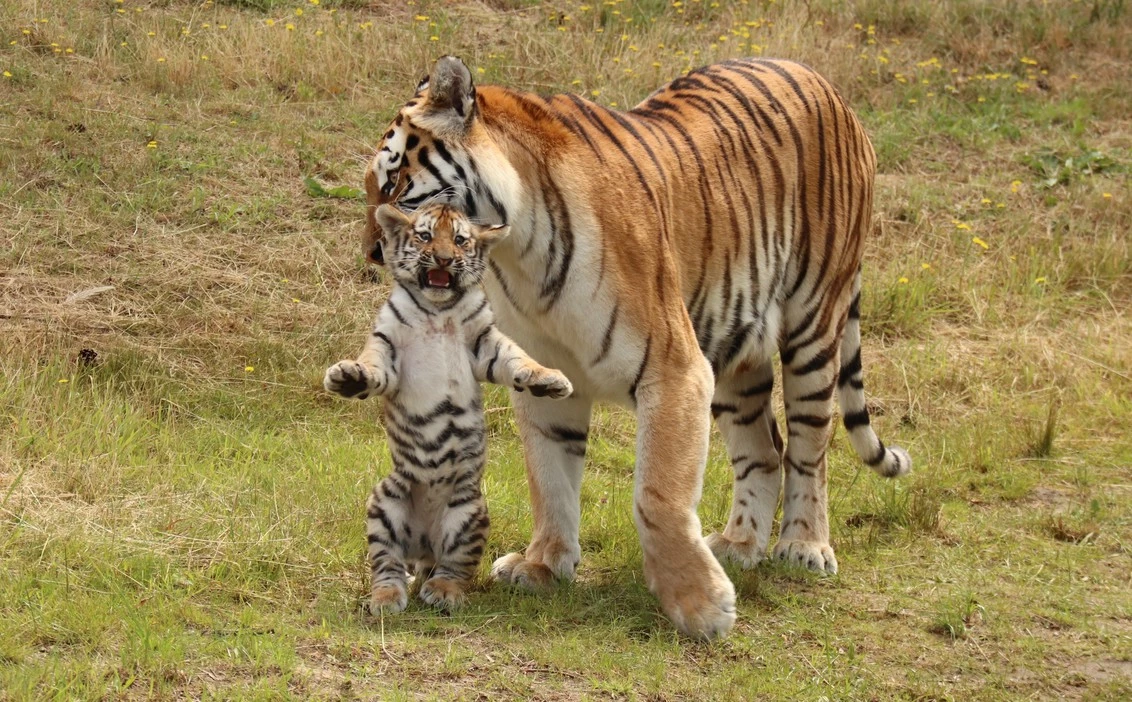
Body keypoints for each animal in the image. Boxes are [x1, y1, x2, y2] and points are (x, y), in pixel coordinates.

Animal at [362, 56, 910, 634]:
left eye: (395, 182)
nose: (375, 252)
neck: (519, 254)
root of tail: (823, 82)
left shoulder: (674, 371)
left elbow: (657, 496)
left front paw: (699, 606)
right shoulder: (547, 376)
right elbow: (549, 478)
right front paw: (544, 564)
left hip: (814, 324)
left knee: (809, 447)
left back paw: (803, 546)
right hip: (735, 350)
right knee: (764, 449)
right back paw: (739, 544)